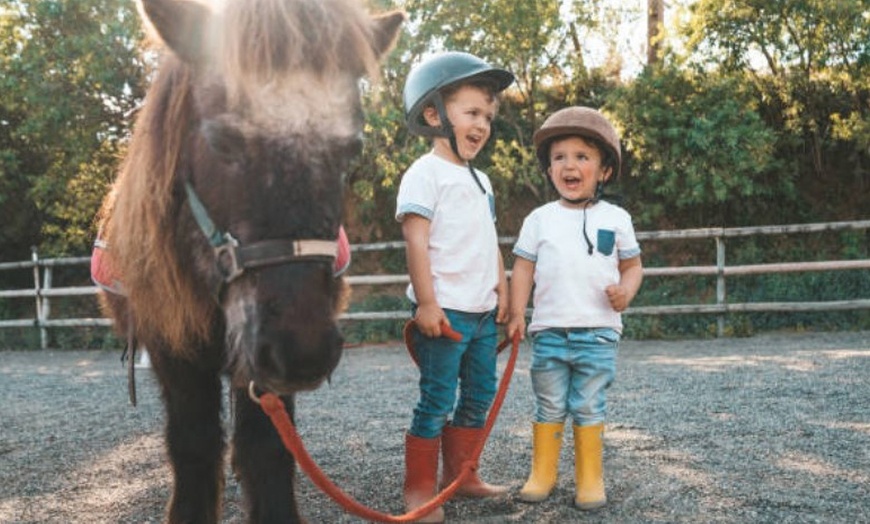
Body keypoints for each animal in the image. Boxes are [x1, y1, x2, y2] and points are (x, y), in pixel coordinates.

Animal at [97, 2, 404, 520]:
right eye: (222, 141)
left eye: (352, 150)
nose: (303, 351)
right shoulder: (173, 349)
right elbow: (195, 446)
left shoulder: (261, 366)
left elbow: (266, 450)